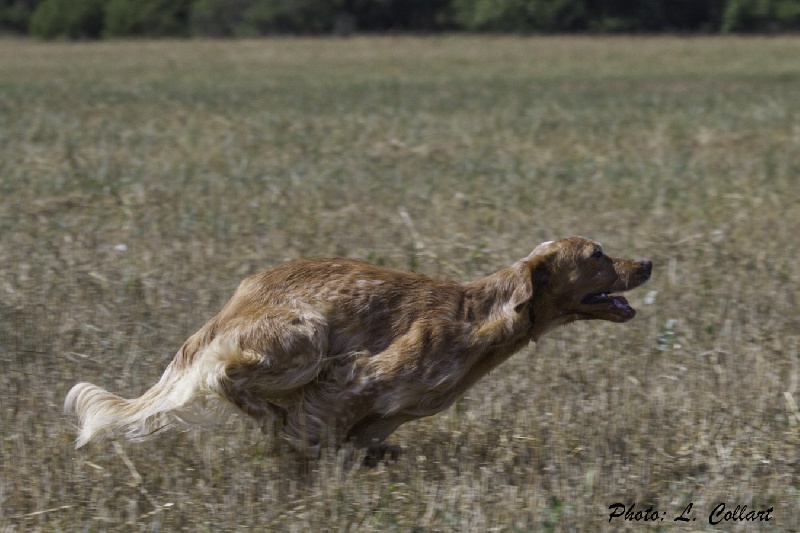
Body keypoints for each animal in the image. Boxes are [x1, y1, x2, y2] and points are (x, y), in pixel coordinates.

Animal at [65, 237, 652, 458]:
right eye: (597, 254)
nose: (647, 262)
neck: (481, 317)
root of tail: (233, 303)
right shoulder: (357, 378)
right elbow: (313, 432)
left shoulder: (388, 414)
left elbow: (362, 442)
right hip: (305, 334)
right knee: (227, 377)